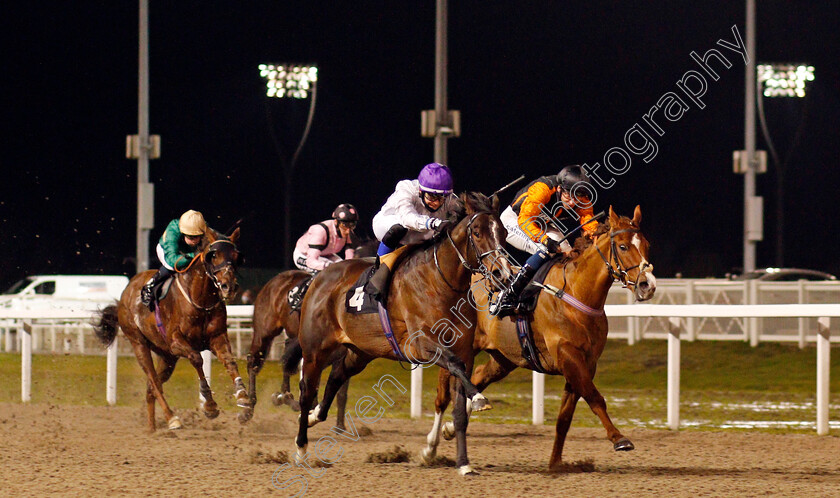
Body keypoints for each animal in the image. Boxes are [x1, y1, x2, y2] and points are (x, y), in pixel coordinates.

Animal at [95, 228, 248, 430]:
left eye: (237, 256)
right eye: (213, 255)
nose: (228, 286)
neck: (200, 300)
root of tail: (123, 297)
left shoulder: (217, 337)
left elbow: (230, 361)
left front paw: (244, 400)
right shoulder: (176, 342)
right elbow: (197, 359)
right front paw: (209, 405)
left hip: (167, 356)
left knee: (151, 388)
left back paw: (152, 428)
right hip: (139, 343)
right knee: (154, 382)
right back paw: (171, 418)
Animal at [296, 192, 512, 474]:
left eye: (504, 232)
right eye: (476, 232)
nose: (503, 273)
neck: (440, 281)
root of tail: (320, 278)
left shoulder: (465, 351)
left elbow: (459, 411)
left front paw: (464, 463)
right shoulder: (422, 344)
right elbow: (454, 365)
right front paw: (478, 397)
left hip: (361, 351)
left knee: (337, 375)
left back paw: (315, 415)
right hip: (314, 350)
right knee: (306, 392)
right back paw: (301, 448)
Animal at [426, 206, 656, 470]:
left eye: (646, 244)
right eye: (623, 246)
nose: (648, 284)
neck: (575, 293)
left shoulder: (585, 363)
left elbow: (565, 418)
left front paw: (555, 463)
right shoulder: (568, 355)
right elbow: (594, 397)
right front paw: (619, 439)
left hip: (504, 358)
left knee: (478, 377)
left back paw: (455, 424)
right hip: (460, 345)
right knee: (443, 394)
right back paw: (430, 448)